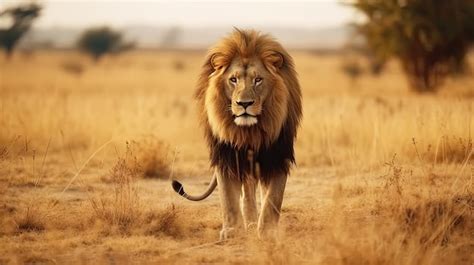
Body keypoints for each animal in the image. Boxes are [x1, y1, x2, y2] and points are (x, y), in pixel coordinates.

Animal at [172, 28, 302, 239]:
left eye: (258, 80)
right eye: (233, 80)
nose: (244, 103)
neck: (249, 132)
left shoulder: (277, 156)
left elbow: (273, 198)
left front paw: (267, 231)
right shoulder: (226, 156)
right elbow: (228, 198)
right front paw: (232, 230)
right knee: (247, 190)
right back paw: (249, 222)